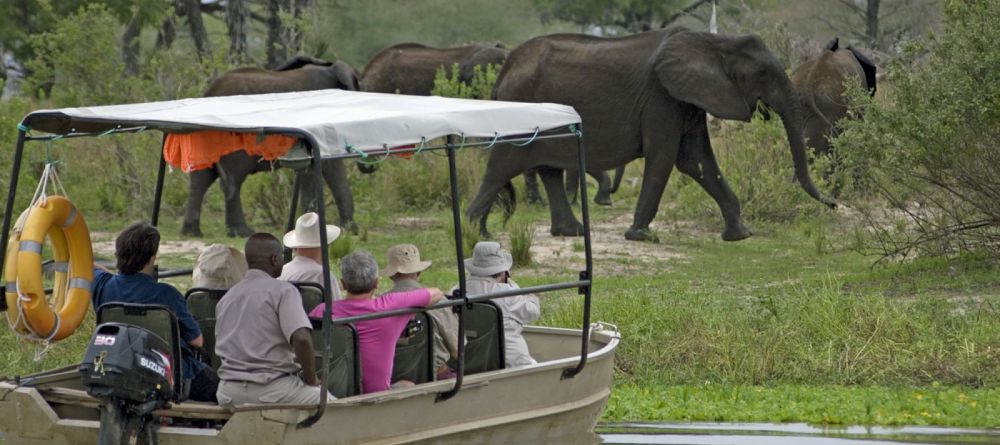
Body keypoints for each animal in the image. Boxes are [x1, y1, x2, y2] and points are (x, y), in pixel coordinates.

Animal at [181, 57, 364, 238]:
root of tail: (209, 92)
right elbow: (331, 168)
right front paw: (349, 231)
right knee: (232, 180)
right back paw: (242, 232)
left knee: (201, 178)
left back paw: (192, 232)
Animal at [468, 26, 836, 243]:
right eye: (761, 73)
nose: (834, 203)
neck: (714, 41)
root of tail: (504, 71)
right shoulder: (662, 96)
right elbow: (666, 156)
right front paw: (641, 236)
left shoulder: (686, 98)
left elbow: (696, 160)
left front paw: (740, 235)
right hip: (519, 107)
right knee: (503, 165)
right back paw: (477, 233)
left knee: (548, 170)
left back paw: (570, 232)